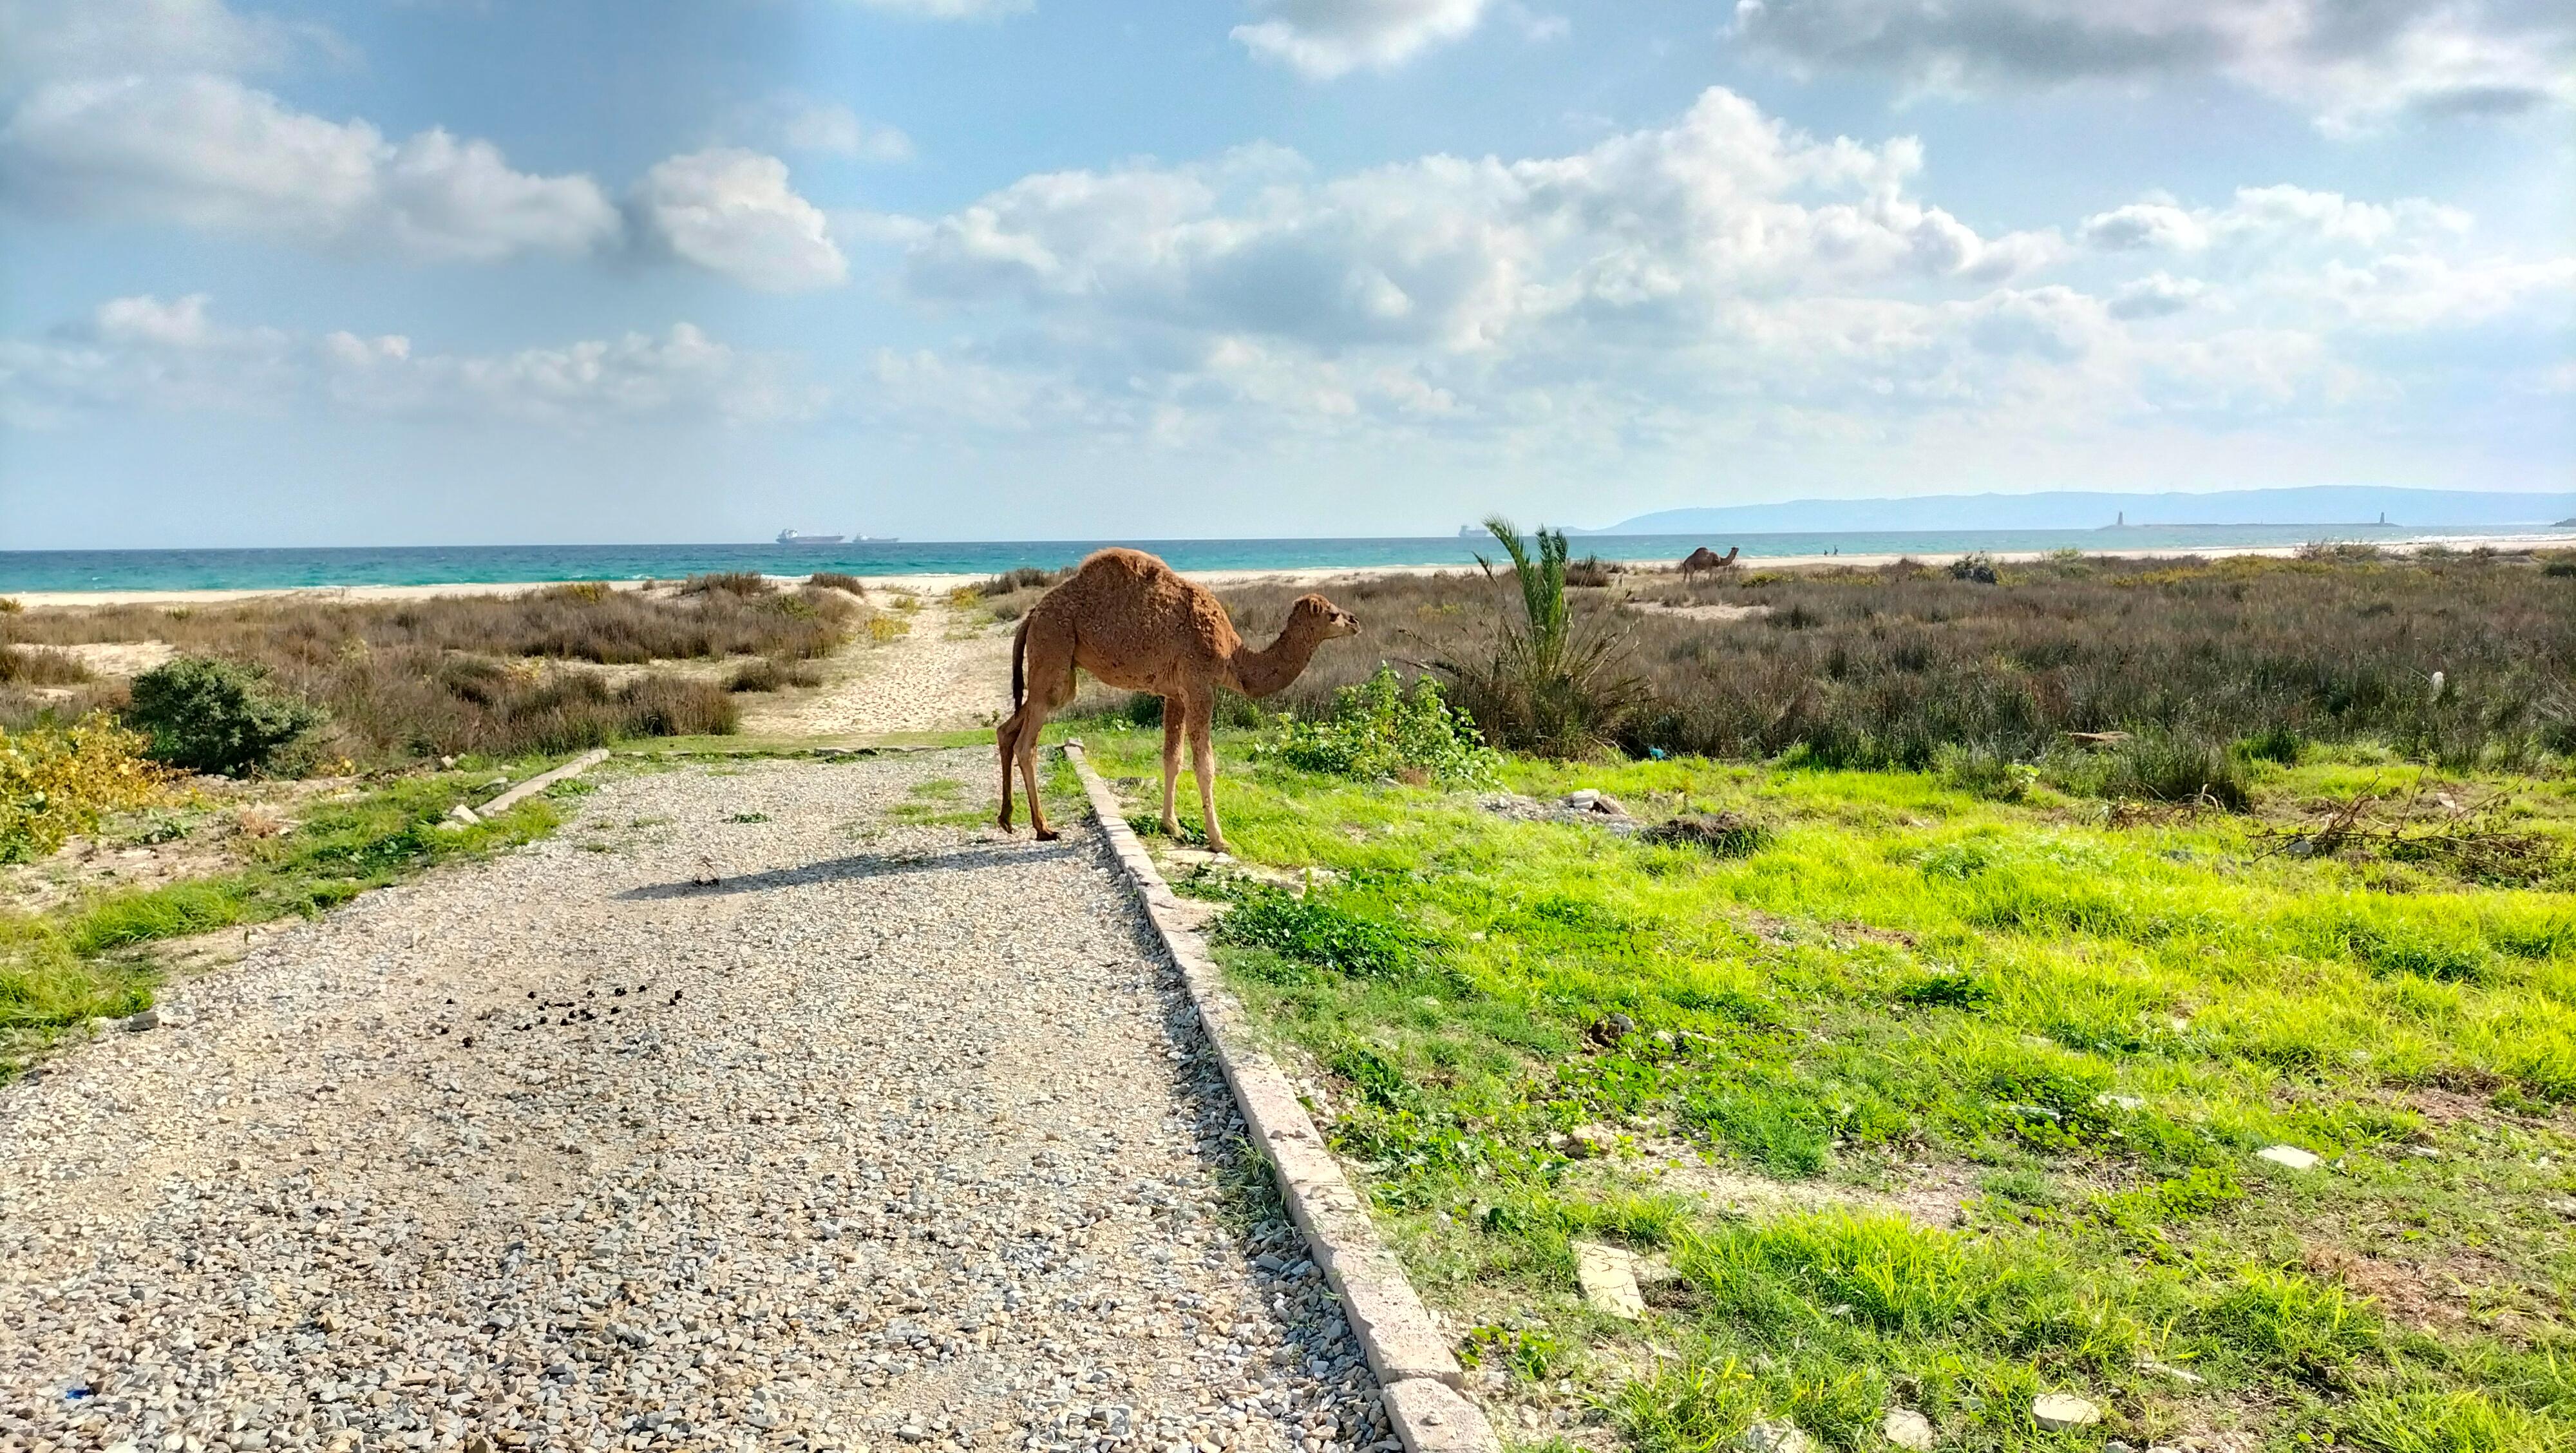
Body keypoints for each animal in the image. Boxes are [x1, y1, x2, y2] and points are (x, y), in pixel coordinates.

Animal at [989, 551, 1370, 855]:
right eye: (1332, 614)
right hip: (1054, 649)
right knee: (1027, 742)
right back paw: (1043, 828)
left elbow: (1172, 759)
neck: (1233, 656)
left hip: (1058, 666)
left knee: (1008, 728)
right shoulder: (1200, 686)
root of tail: (1032, 613)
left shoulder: (1176, 693)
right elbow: (1206, 765)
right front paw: (1218, 840)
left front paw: (1172, 826)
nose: (1355, 621)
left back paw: (1007, 819)